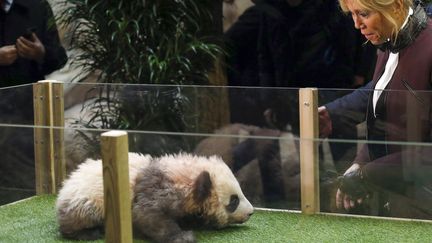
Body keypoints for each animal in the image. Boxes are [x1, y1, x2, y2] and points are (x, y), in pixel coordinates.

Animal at [55, 153, 255, 242]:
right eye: (234, 201)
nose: (251, 212)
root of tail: (64, 188)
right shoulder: (154, 187)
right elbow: (146, 215)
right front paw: (184, 236)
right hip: (87, 200)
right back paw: (88, 232)